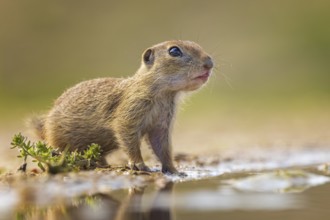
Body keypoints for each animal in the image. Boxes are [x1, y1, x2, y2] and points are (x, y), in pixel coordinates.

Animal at [28, 40, 214, 174]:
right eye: (174, 51)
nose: (210, 63)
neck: (163, 95)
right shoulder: (130, 111)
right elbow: (128, 137)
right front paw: (140, 165)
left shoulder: (161, 124)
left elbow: (162, 147)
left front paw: (174, 170)